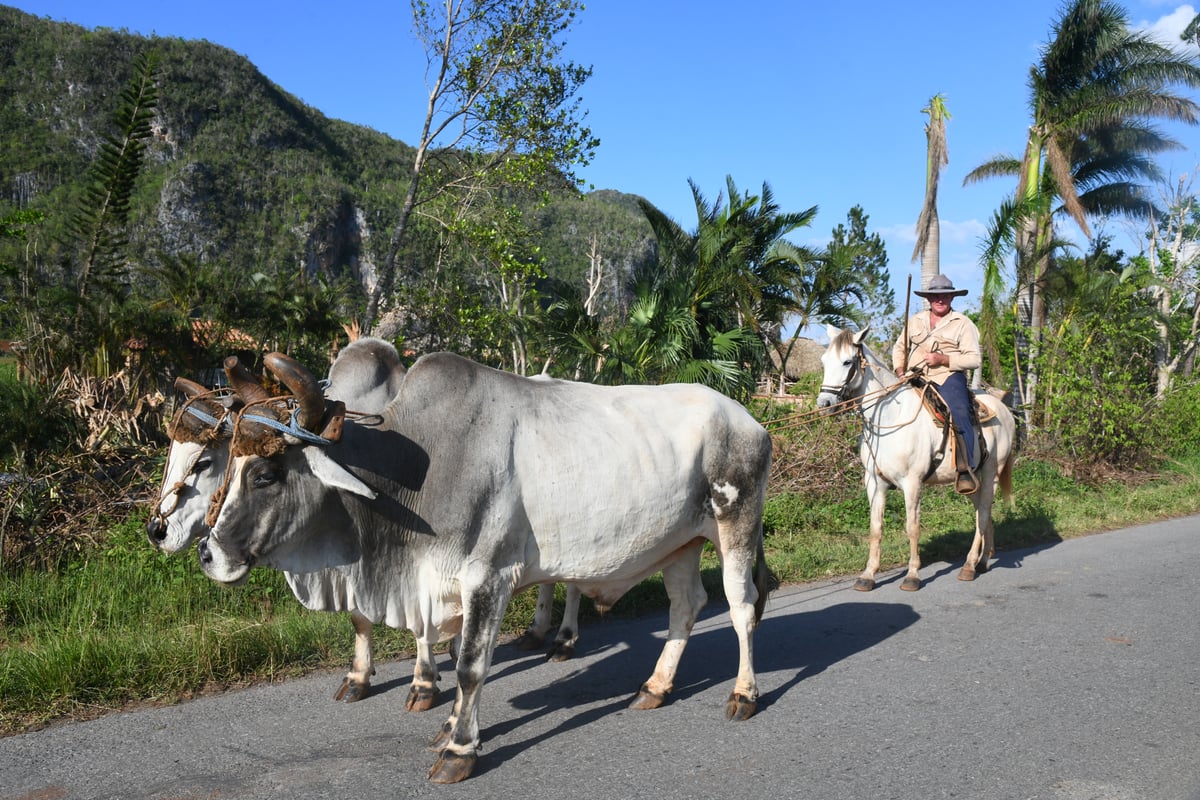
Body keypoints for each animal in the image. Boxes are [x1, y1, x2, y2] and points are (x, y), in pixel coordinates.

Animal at [816, 321, 1012, 592]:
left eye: (847, 362)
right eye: (824, 361)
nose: (824, 403)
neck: (890, 417)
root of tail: (1004, 409)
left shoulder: (912, 483)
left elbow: (912, 528)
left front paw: (912, 575)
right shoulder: (874, 483)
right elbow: (875, 528)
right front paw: (868, 575)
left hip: (992, 471)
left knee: (982, 513)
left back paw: (969, 565)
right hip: (970, 480)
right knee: (982, 512)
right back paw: (982, 560)